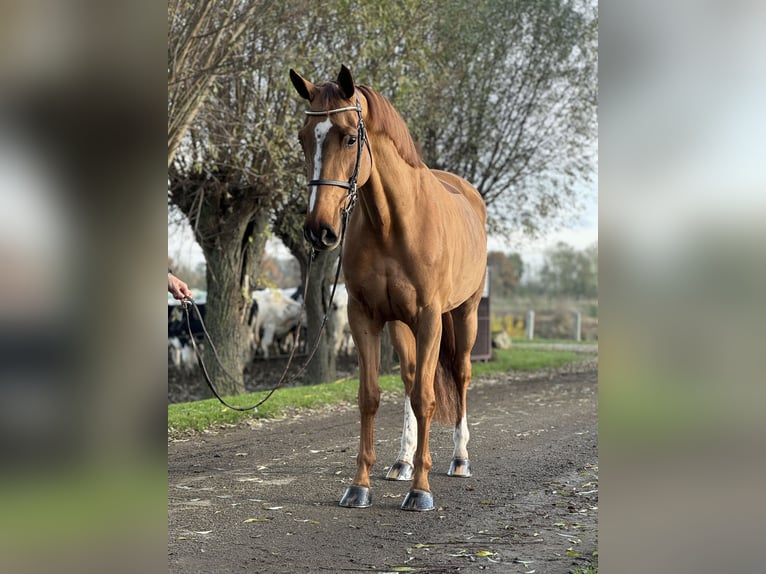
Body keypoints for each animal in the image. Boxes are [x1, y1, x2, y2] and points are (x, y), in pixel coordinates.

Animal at [292, 64, 488, 512]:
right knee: (411, 377)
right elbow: (371, 396)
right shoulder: (364, 316)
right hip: (401, 326)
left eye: (350, 137)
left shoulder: (430, 318)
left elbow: (426, 398)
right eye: (303, 137)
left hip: (463, 314)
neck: (394, 223)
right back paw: (401, 462)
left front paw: (421, 490)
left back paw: (459, 459)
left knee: (460, 376)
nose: (318, 230)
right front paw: (359, 486)